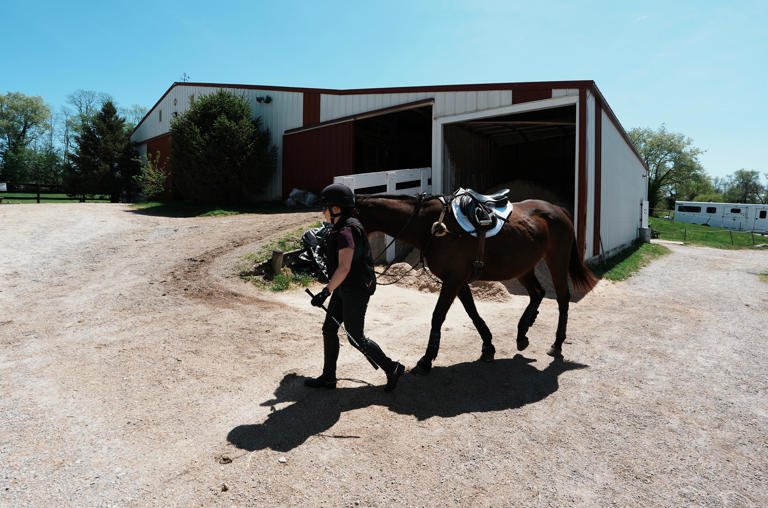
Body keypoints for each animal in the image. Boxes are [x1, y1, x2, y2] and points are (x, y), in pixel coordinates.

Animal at [354, 193, 598, 375]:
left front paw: (426, 359)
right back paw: (522, 333)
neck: (434, 225)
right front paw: (488, 346)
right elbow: (472, 312)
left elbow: (438, 316)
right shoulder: (458, 280)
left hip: (556, 260)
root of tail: (557, 210)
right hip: (523, 267)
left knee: (562, 298)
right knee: (538, 293)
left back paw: (556, 343)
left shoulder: (453, 280)